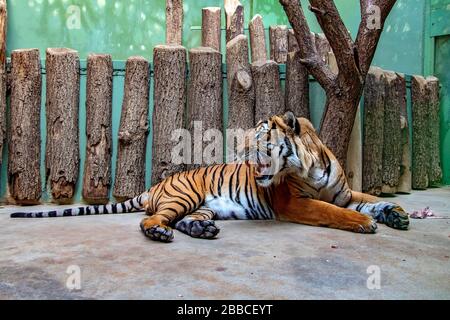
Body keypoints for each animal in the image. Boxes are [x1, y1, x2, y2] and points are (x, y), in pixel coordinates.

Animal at [10, 111, 410, 241]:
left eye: (258, 137)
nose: (240, 149)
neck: (310, 164)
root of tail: (155, 186)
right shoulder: (295, 204)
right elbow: (332, 212)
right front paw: (365, 222)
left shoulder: (345, 193)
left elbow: (371, 200)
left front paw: (397, 214)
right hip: (184, 195)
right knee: (151, 220)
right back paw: (159, 233)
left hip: (202, 205)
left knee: (182, 220)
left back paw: (201, 230)